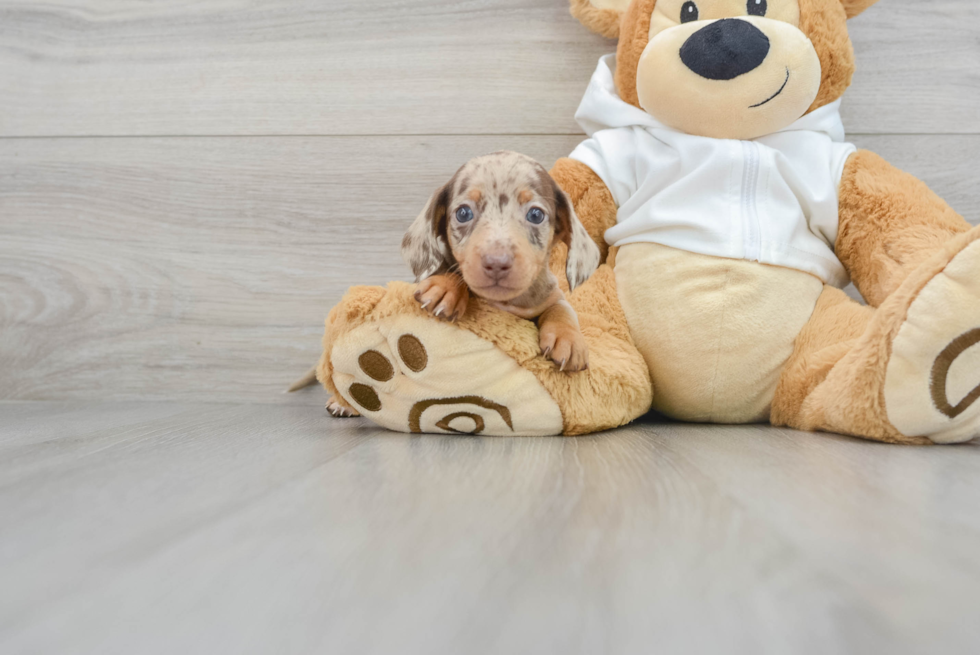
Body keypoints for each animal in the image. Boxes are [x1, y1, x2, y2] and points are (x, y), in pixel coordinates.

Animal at [402, 151, 600, 372]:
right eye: (463, 213)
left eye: (536, 214)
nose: (496, 263)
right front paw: (446, 286)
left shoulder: (552, 295)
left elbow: (562, 308)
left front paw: (568, 337)